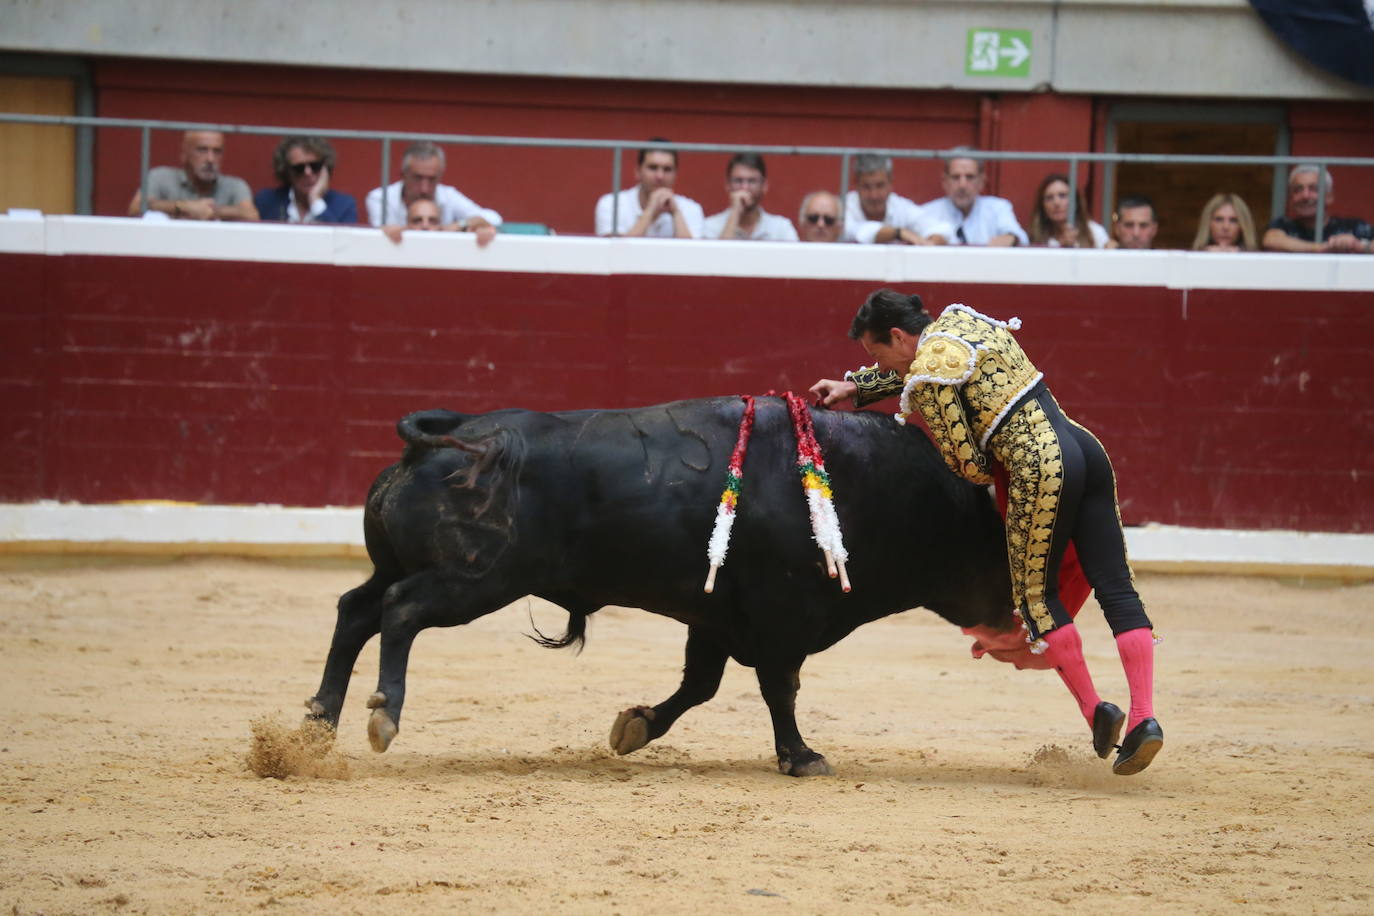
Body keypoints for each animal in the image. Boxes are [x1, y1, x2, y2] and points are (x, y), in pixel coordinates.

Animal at [311, 398, 1022, 780]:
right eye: (995, 545)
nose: (1016, 618)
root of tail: (446, 441)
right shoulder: (782, 619)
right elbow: (779, 688)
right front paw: (800, 756)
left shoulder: (715, 619)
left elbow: (700, 685)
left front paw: (635, 726)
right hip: (476, 580)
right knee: (400, 611)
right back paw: (382, 715)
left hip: (406, 568)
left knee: (355, 610)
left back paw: (318, 722)